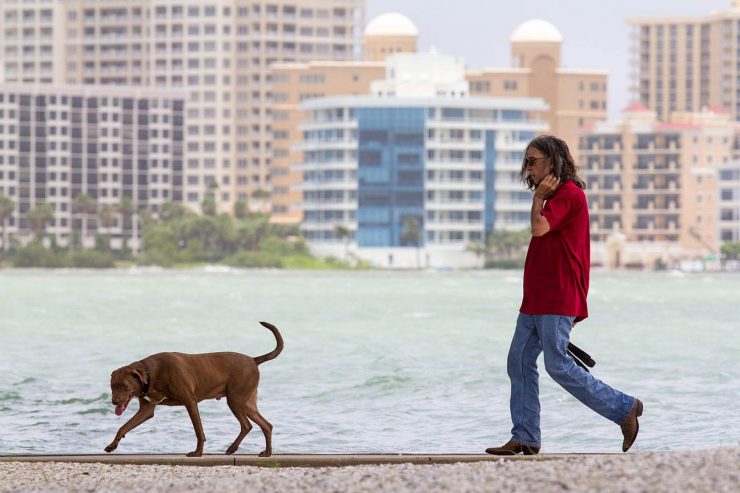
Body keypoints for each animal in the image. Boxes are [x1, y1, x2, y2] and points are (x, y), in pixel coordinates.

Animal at [107, 320, 284, 456]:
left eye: (124, 386)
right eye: (112, 386)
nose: (114, 402)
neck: (150, 374)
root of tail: (253, 360)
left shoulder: (190, 402)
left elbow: (199, 431)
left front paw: (197, 453)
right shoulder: (147, 409)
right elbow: (124, 427)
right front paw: (112, 445)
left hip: (235, 399)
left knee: (247, 425)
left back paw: (233, 448)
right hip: (246, 402)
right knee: (266, 425)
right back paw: (267, 452)